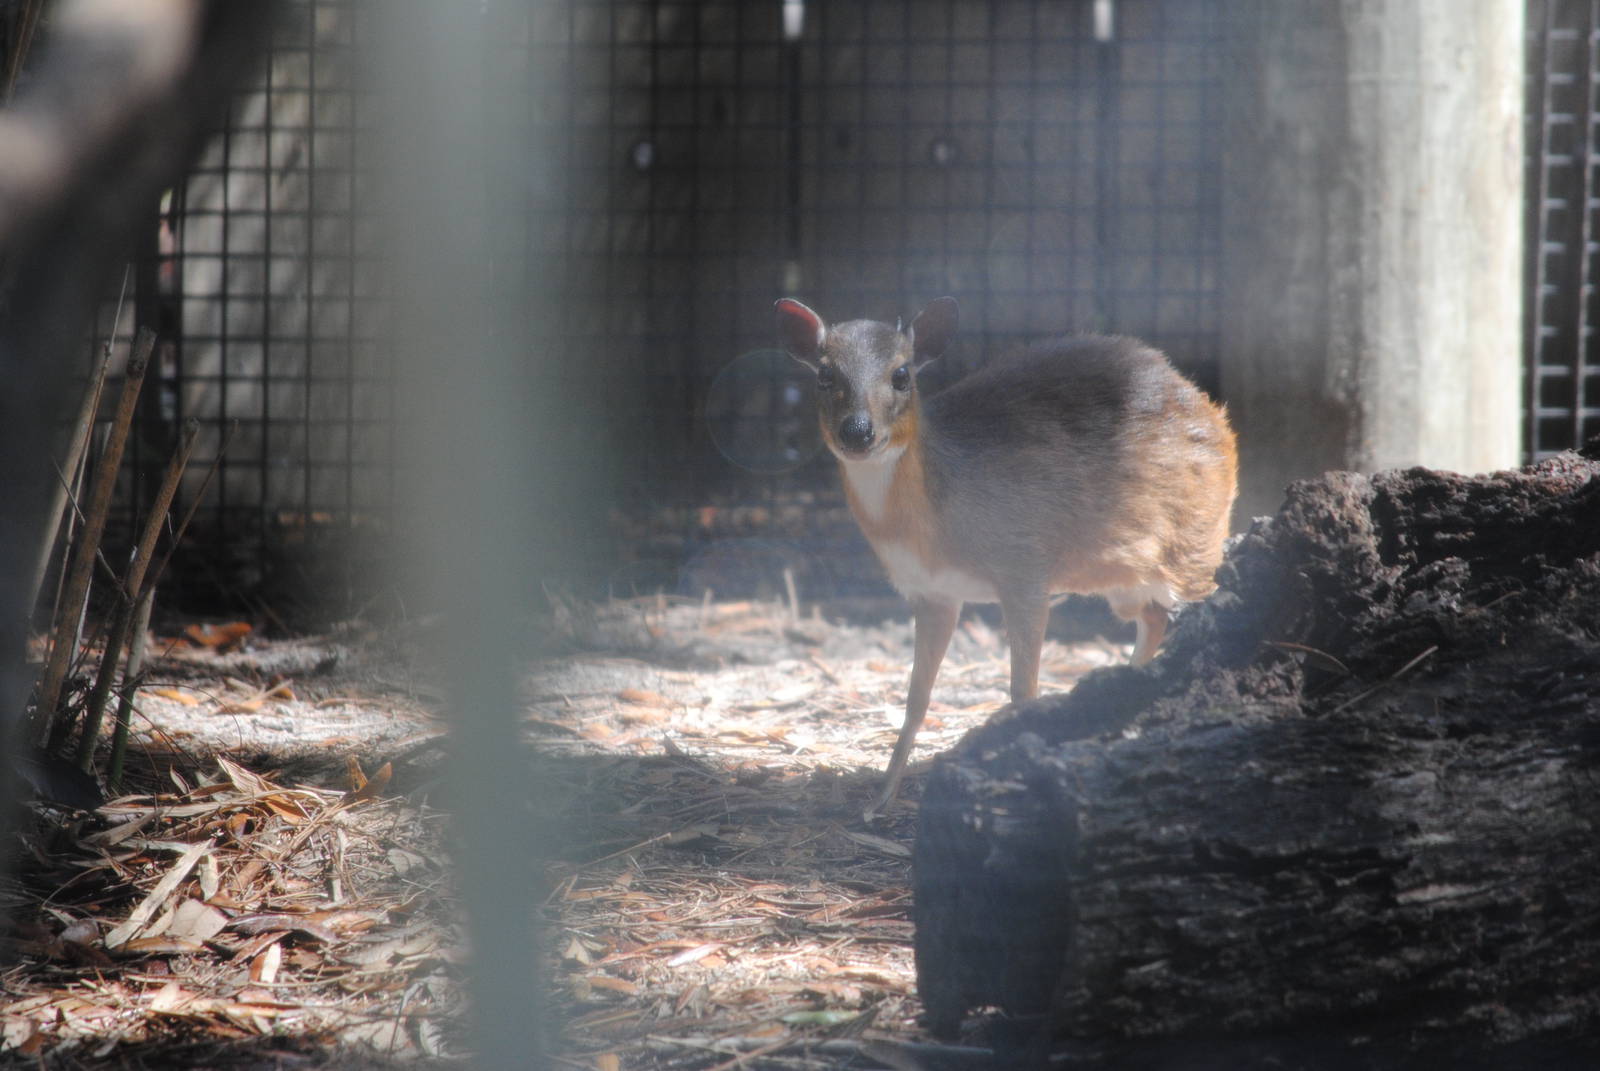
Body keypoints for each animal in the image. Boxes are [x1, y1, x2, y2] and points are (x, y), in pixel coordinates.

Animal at [775, 297, 1237, 819]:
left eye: (901, 374)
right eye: (825, 374)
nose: (857, 432)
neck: (928, 526)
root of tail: (1208, 407)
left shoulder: (1025, 567)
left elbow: (1022, 690)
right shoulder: (931, 593)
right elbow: (916, 698)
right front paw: (880, 798)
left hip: (1196, 545)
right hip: (1123, 578)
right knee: (1154, 616)